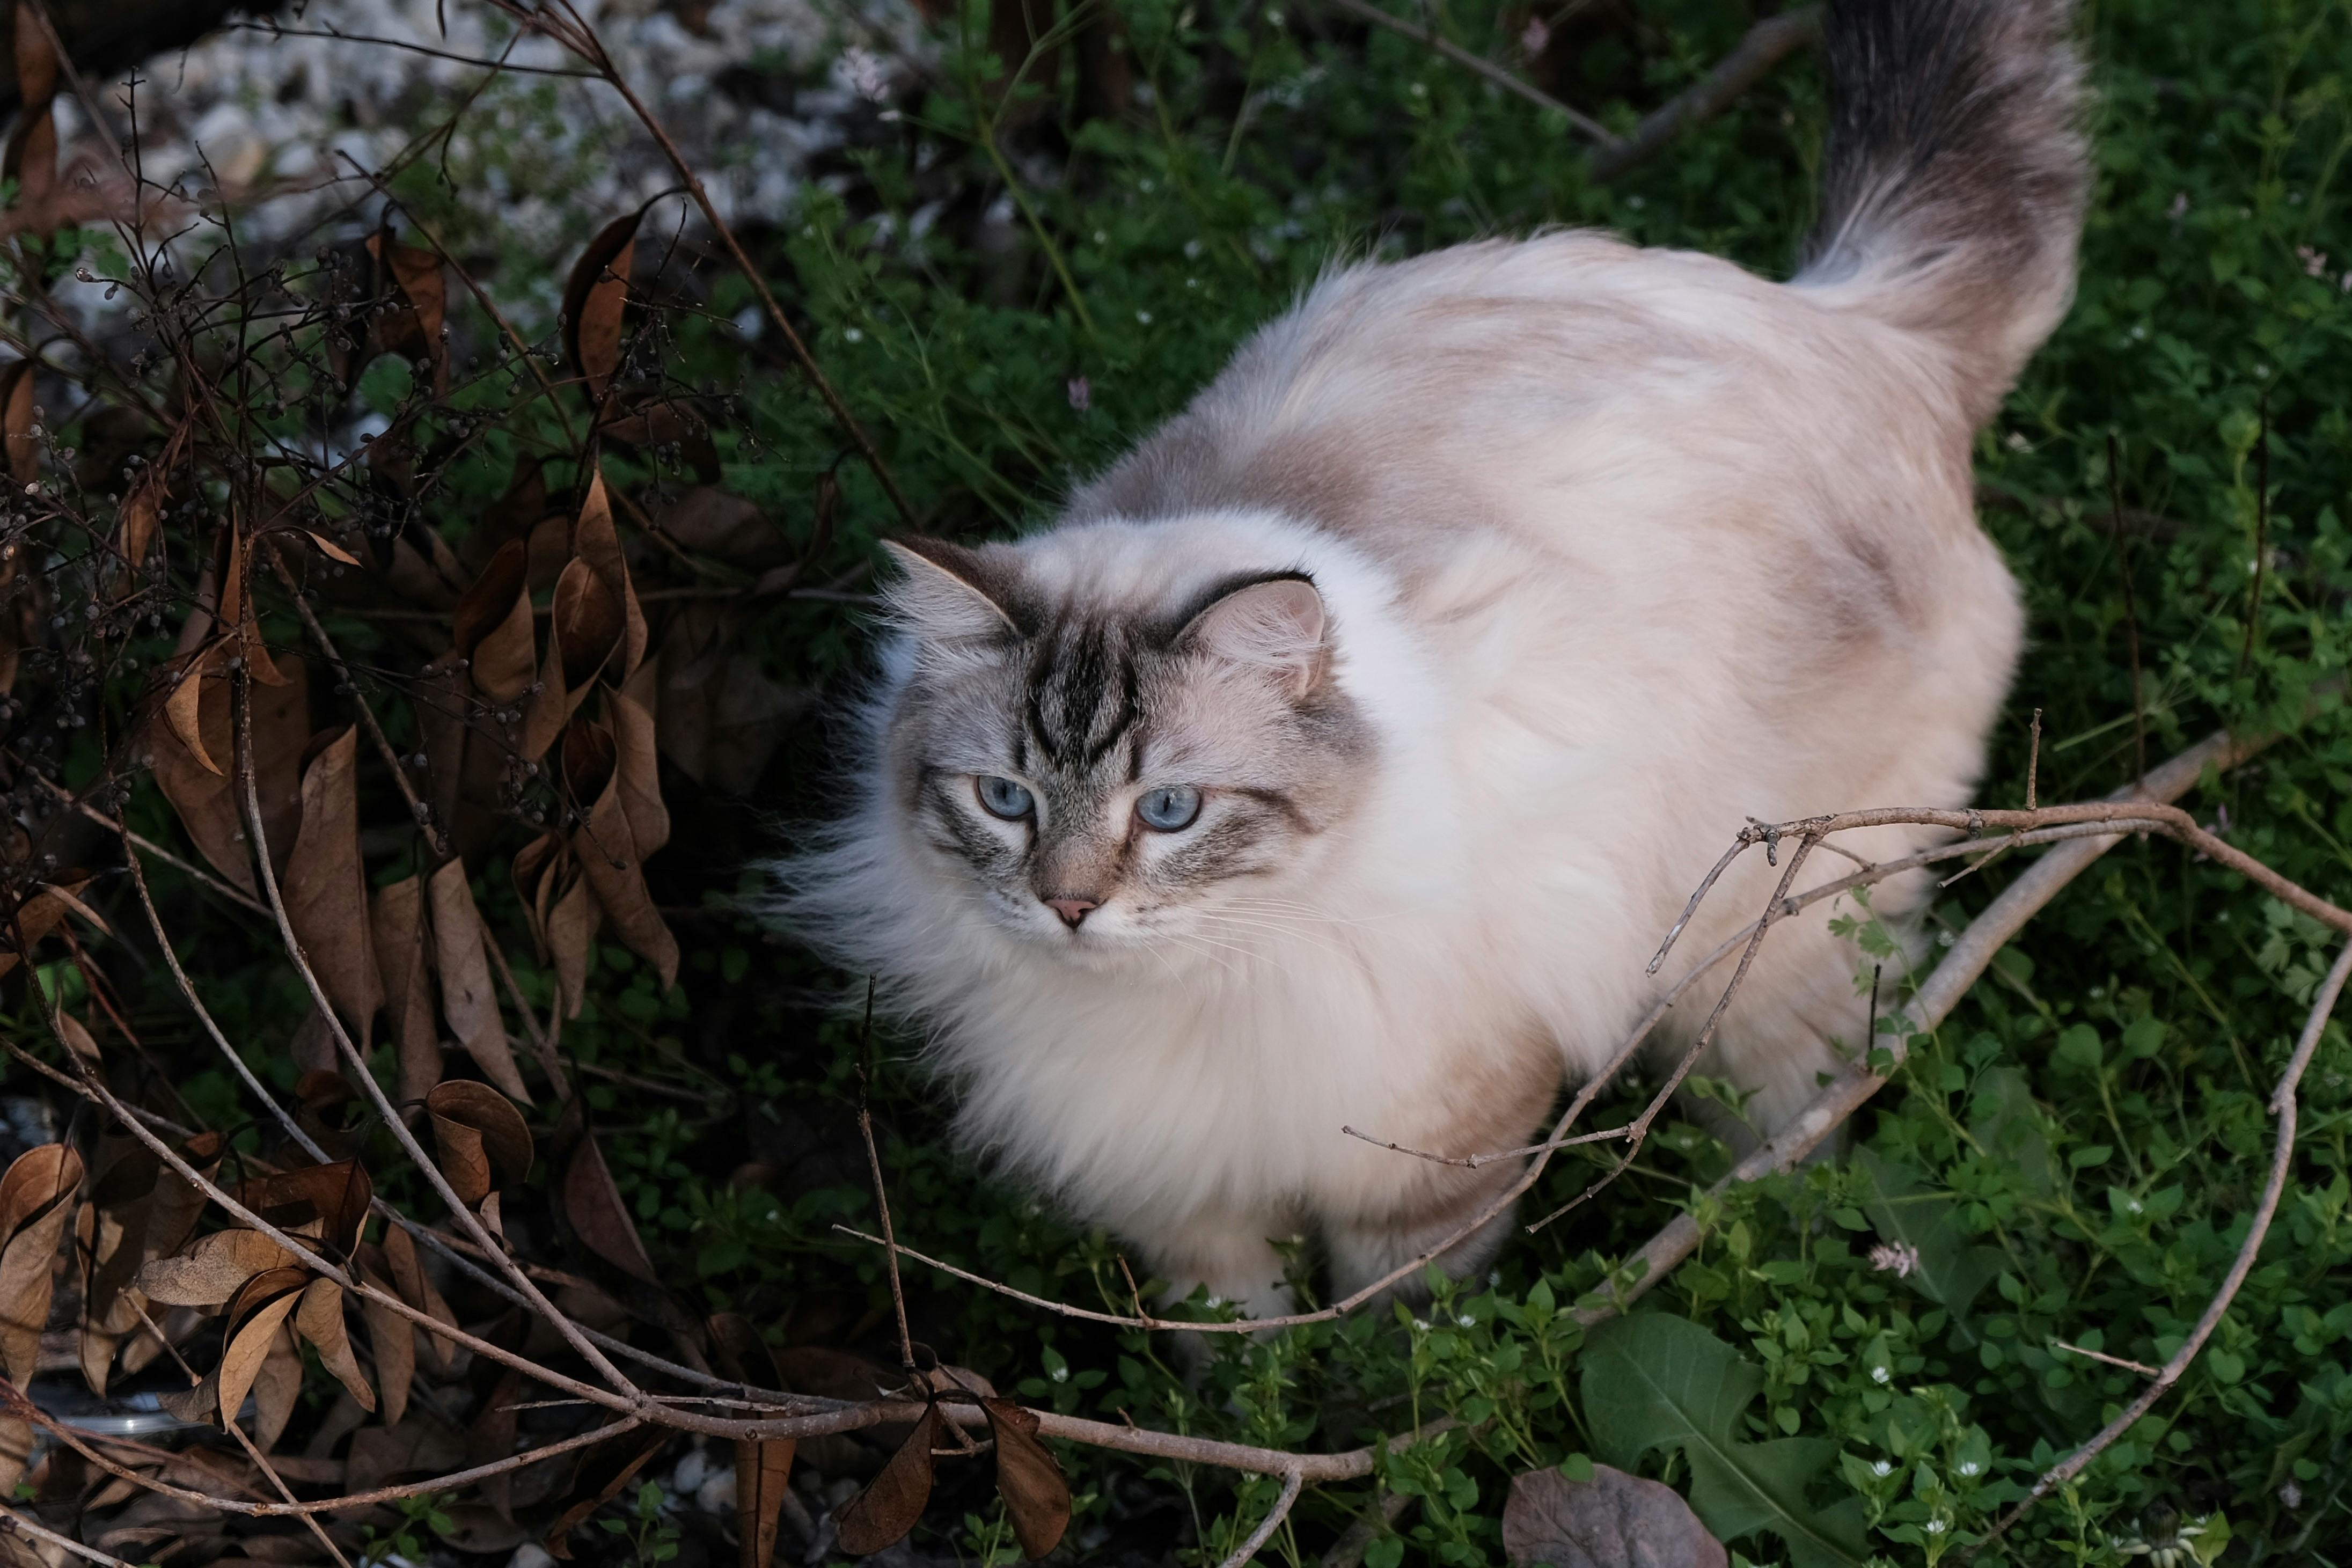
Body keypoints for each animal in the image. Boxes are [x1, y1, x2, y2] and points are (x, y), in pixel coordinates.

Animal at [781, 0, 2089, 1325]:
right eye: (1007, 799)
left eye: (1169, 810)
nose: (1068, 907)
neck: (1188, 989)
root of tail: (1851, 319)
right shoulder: (1188, 1202)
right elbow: (1236, 1346)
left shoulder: (1423, 1150)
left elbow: (1397, 1337)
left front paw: (1377, 1382)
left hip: (1771, 951)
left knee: (1802, 1121)